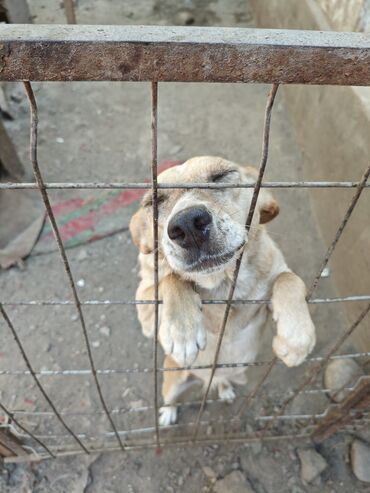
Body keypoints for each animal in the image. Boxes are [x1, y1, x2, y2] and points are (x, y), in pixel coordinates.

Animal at [130, 156, 316, 424]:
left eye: (221, 176)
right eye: (154, 201)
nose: (187, 224)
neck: (223, 282)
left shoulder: (273, 282)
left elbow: (288, 278)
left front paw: (296, 339)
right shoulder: (145, 307)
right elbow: (173, 279)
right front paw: (183, 332)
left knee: (222, 380)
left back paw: (224, 388)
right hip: (173, 380)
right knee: (171, 398)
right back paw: (168, 412)